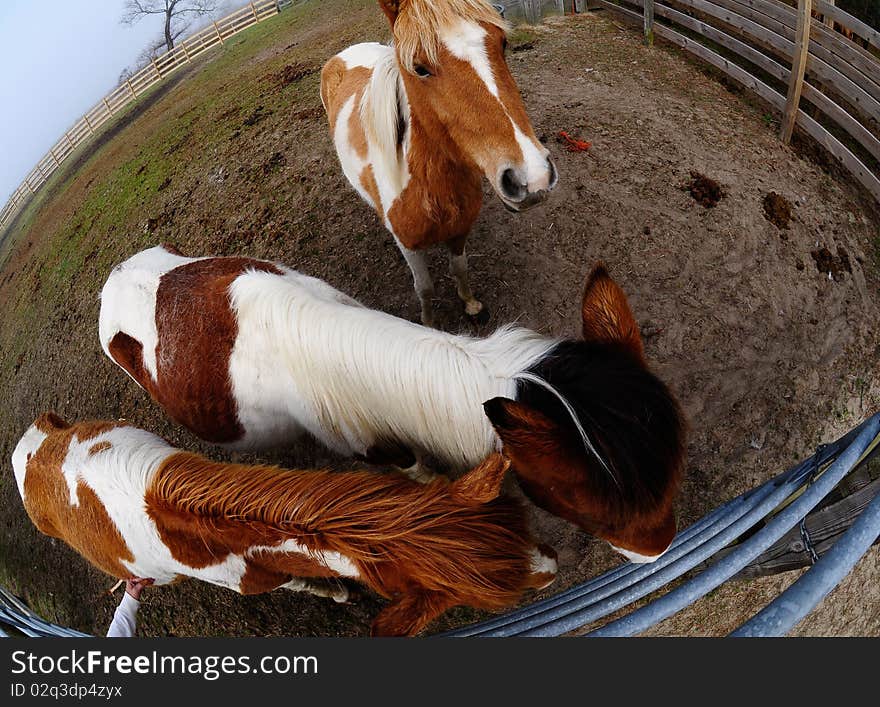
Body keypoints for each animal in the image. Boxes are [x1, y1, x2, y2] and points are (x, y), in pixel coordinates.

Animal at [10, 414, 552, 636]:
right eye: (483, 600)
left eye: (523, 524)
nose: (550, 570)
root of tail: (32, 442)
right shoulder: (253, 579)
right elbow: (299, 581)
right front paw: (337, 593)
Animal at [98, 246, 688, 560]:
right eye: (589, 505)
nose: (660, 551)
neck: (312, 341)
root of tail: (116, 275)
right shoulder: (375, 449)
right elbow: (421, 475)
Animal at [324, 0, 556, 326]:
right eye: (420, 68)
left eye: (503, 43)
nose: (532, 177)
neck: (430, 185)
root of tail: (344, 54)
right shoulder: (410, 247)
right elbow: (425, 288)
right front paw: (429, 322)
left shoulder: (460, 231)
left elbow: (459, 268)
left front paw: (472, 306)